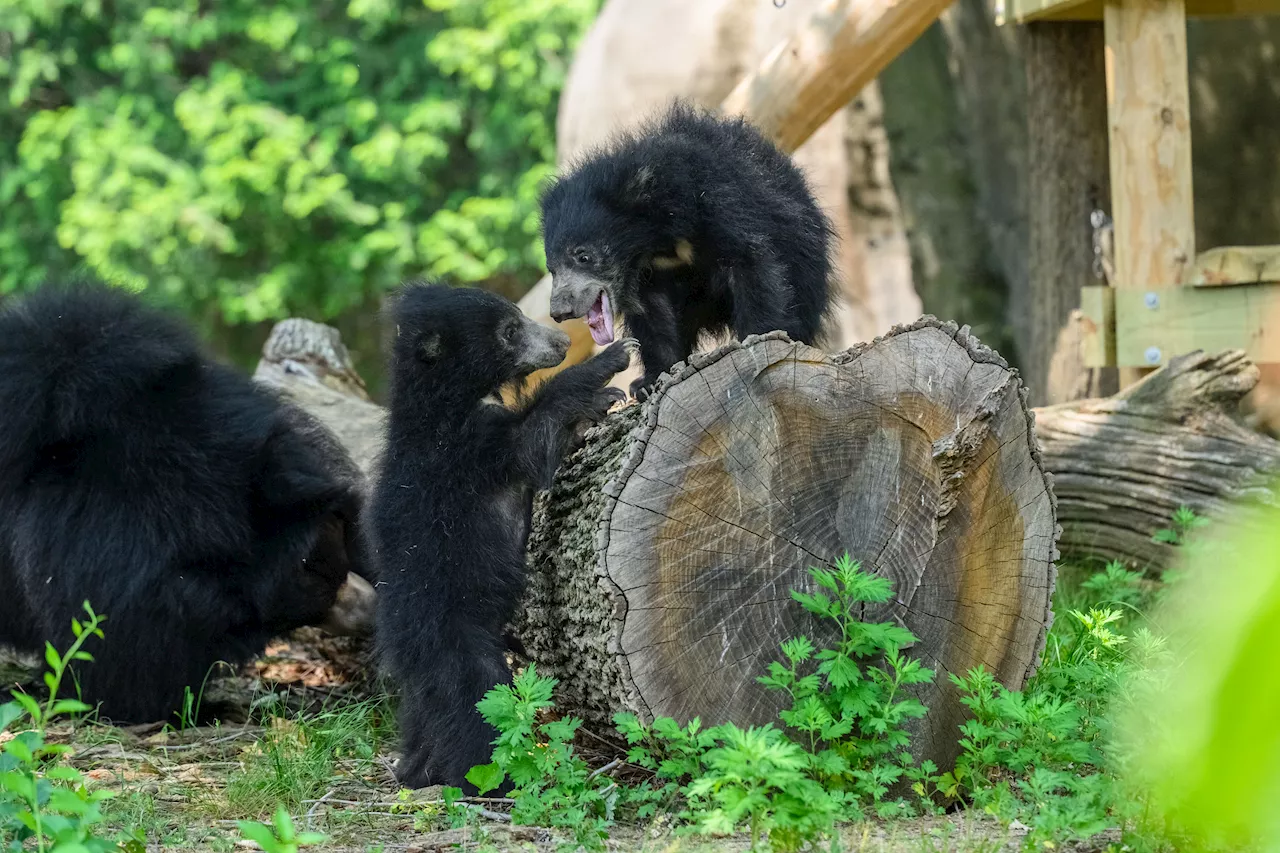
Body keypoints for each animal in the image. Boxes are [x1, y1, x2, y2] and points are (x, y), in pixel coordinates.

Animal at [368, 281, 632, 788]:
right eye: (510, 331)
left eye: (517, 316)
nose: (563, 341)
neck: (448, 400)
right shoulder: (469, 448)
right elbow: (532, 441)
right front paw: (610, 365)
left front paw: (600, 401)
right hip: (458, 640)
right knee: (476, 706)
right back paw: (492, 779)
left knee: (427, 715)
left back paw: (416, 768)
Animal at [537, 99, 829, 399]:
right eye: (552, 269)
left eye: (583, 256)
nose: (560, 311)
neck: (654, 239)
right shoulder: (648, 274)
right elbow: (653, 315)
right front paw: (651, 381)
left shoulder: (719, 202)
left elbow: (750, 264)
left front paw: (760, 339)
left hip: (805, 256)